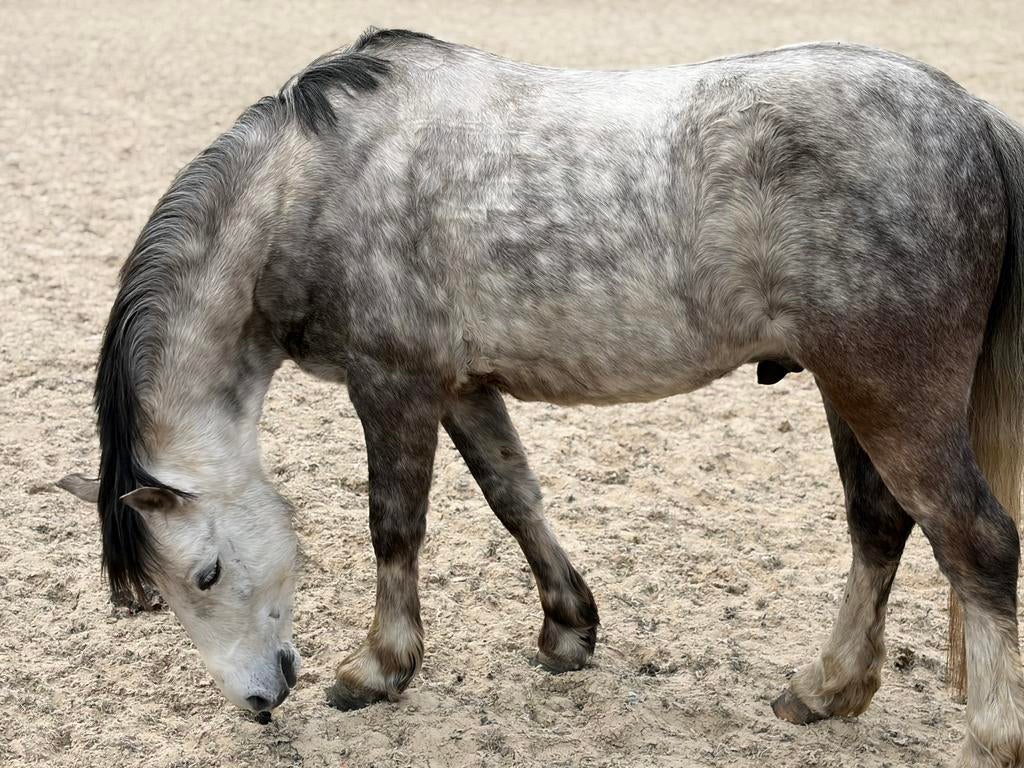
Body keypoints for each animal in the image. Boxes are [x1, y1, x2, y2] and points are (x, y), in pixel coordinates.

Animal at [58, 29, 1024, 767]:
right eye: (160, 595)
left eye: (206, 574)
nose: (257, 701)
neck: (311, 187)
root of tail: (972, 117)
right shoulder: (462, 387)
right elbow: (514, 497)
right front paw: (567, 631)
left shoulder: (393, 383)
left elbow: (394, 526)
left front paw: (380, 667)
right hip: (847, 389)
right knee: (880, 529)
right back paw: (825, 690)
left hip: (890, 392)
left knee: (974, 544)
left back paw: (988, 737)